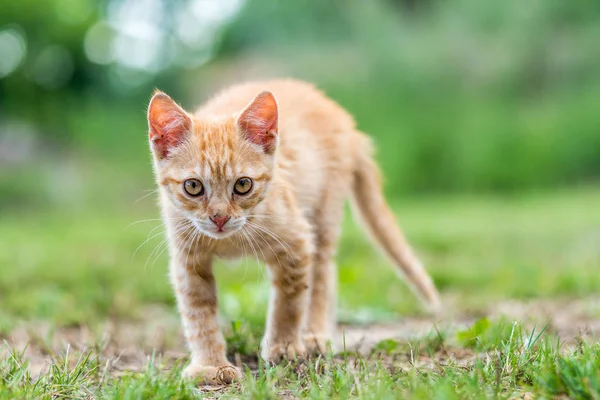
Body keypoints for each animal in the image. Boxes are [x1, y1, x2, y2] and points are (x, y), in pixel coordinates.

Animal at [148, 79, 438, 384]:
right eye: (193, 186)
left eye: (243, 185)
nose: (219, 218)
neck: (231, 238)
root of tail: (346, 122)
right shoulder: (187, 260)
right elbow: (198, 313)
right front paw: (210, 365)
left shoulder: (297, 240)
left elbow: (290, 301)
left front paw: (283, 346)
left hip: (323, 214)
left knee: (322, 276)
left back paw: (314, 335)